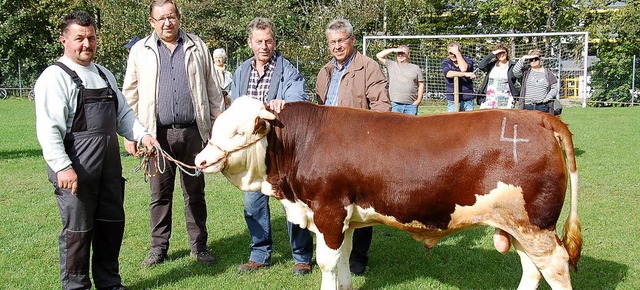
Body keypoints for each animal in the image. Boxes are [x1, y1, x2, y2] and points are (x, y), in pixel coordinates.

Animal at [194, 96, 580, 288]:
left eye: (238, 132)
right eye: (216, 125)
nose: (199, 160)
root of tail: (538, 118)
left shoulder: (328, 211)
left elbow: (327, 263)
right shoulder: (345, 219)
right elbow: (344, 261)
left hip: (536, 228)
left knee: (555, 268)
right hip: (519, 226)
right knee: (532, 270)